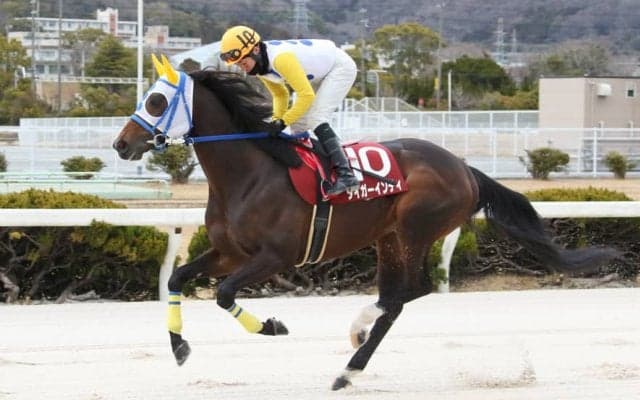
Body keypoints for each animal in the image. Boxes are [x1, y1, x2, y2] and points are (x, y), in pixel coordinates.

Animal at [113, 55, 617, 390]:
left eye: (156, 100)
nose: (121, 144)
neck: (250, 173)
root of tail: (464, 168)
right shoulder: (228, 252)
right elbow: (178, 277)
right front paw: (179, 349)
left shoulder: (274, 256)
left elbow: (223, 294)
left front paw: (273, 326)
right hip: (389, 237)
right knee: (400, 293)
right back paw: (355, 345)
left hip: (416, 228)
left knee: (405, 293)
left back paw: (351, 360)